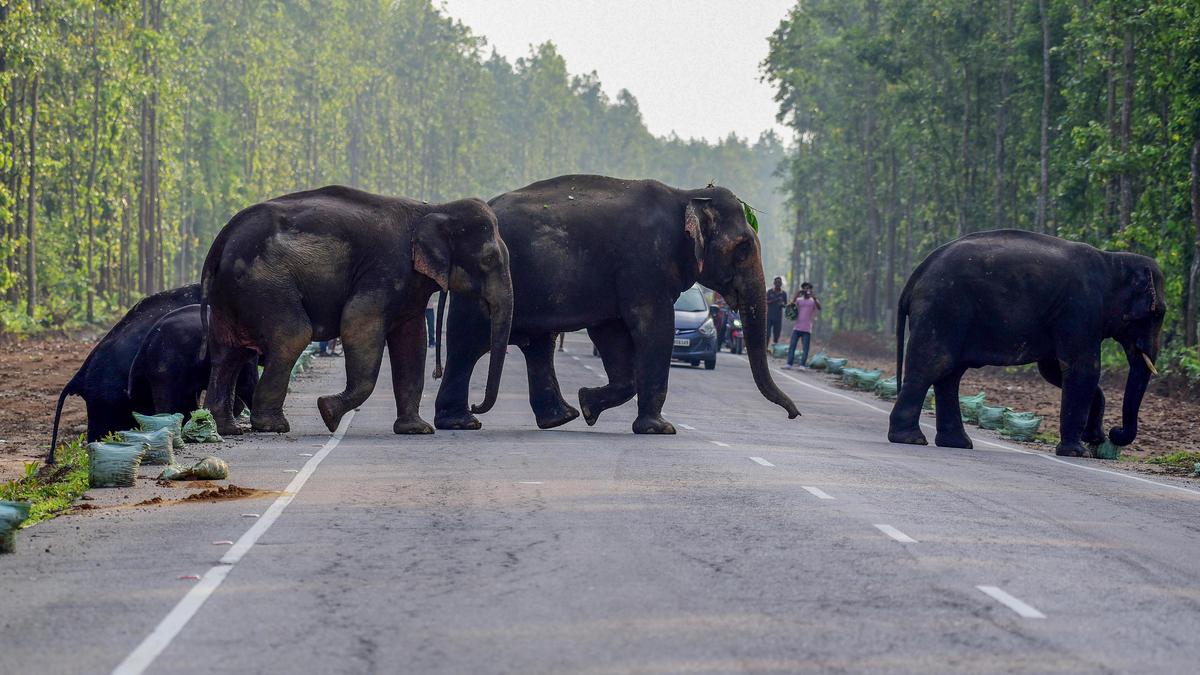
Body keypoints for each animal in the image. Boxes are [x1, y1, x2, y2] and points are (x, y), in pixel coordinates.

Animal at [200, 185, 513, 437]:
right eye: (488, 259)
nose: (475, 406)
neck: (434, 209)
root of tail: (220, 242)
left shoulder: (410, 284)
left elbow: (412, 340)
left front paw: (417, 430)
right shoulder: (385, 269)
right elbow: (358, 323)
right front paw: (327, 411)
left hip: (233, 295)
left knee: (228, 352)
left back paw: (228, 428)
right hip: (264, 282)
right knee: (292, 335)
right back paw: (272, 426)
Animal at [434, 174, 800, 434]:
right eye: (743, 248)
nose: (794, 414)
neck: (687, 195)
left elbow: (611, 334)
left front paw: (588, 404)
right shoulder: (644, 263)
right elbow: (655, 327)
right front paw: (660, 429)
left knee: (537, 346)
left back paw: (560, 417)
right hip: (482, 282)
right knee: (469, 343)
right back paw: (463, 422)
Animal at [887, 229, 1165, 457]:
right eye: (1157, 314)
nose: (1115, 433)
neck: (1113, 261)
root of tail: (916, 275)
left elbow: (1053, 370)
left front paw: (1093, 439)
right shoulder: (1081, 309)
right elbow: (1083, 368)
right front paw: (1078, 452)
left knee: (950, 375)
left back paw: (957, 444)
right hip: (943, 308)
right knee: (934, 364)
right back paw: (911, 439)